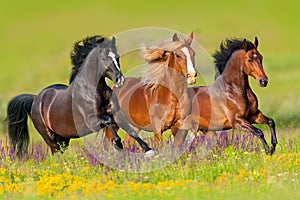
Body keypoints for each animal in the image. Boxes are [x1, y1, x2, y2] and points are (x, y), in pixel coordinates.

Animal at [6, 35, 155, 158]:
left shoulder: (117, 113)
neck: (95, 91)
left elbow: (130, 129)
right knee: (55, 153)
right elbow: (107, 120)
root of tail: (35, 99)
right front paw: (118, 144)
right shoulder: (91, 121)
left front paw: (149, 150)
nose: (120, 80)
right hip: (50, 137)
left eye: (117, 57)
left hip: (63, 138)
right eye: (104, 58)